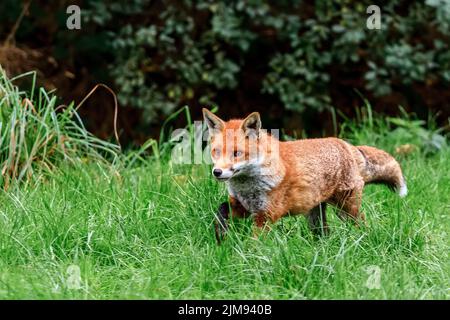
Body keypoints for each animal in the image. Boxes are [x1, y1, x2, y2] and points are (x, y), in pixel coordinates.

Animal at [204, 109, 408, 241]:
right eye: (216, 152)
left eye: (237, 153)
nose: (217, 172)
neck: (248, 186)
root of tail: (347, 145)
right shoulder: (244, 207)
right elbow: (221, 210)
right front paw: (220, 236)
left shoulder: (267, 214)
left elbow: (254, 242)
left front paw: (248, 258)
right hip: (315, 216)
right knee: (325, 235)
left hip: (346, 210)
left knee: (362, 225)